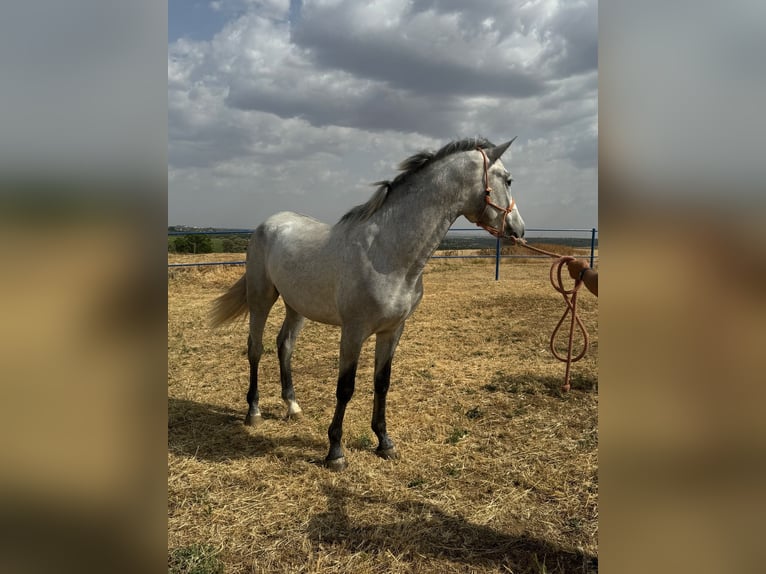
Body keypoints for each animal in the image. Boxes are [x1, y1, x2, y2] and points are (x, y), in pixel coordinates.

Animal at [210, 136, 524, 472]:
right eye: (508, 179)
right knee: (255, 348)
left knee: (285, 345)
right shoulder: (353, 332)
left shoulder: (392, 331)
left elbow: (381, 382)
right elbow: (345, 387)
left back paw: (292, 406)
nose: (519, 231)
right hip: (261, 297)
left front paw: (384, 442)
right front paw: (335, 451)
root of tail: (268, 224)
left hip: (297, 306)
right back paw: (253, 412)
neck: (386, 253)